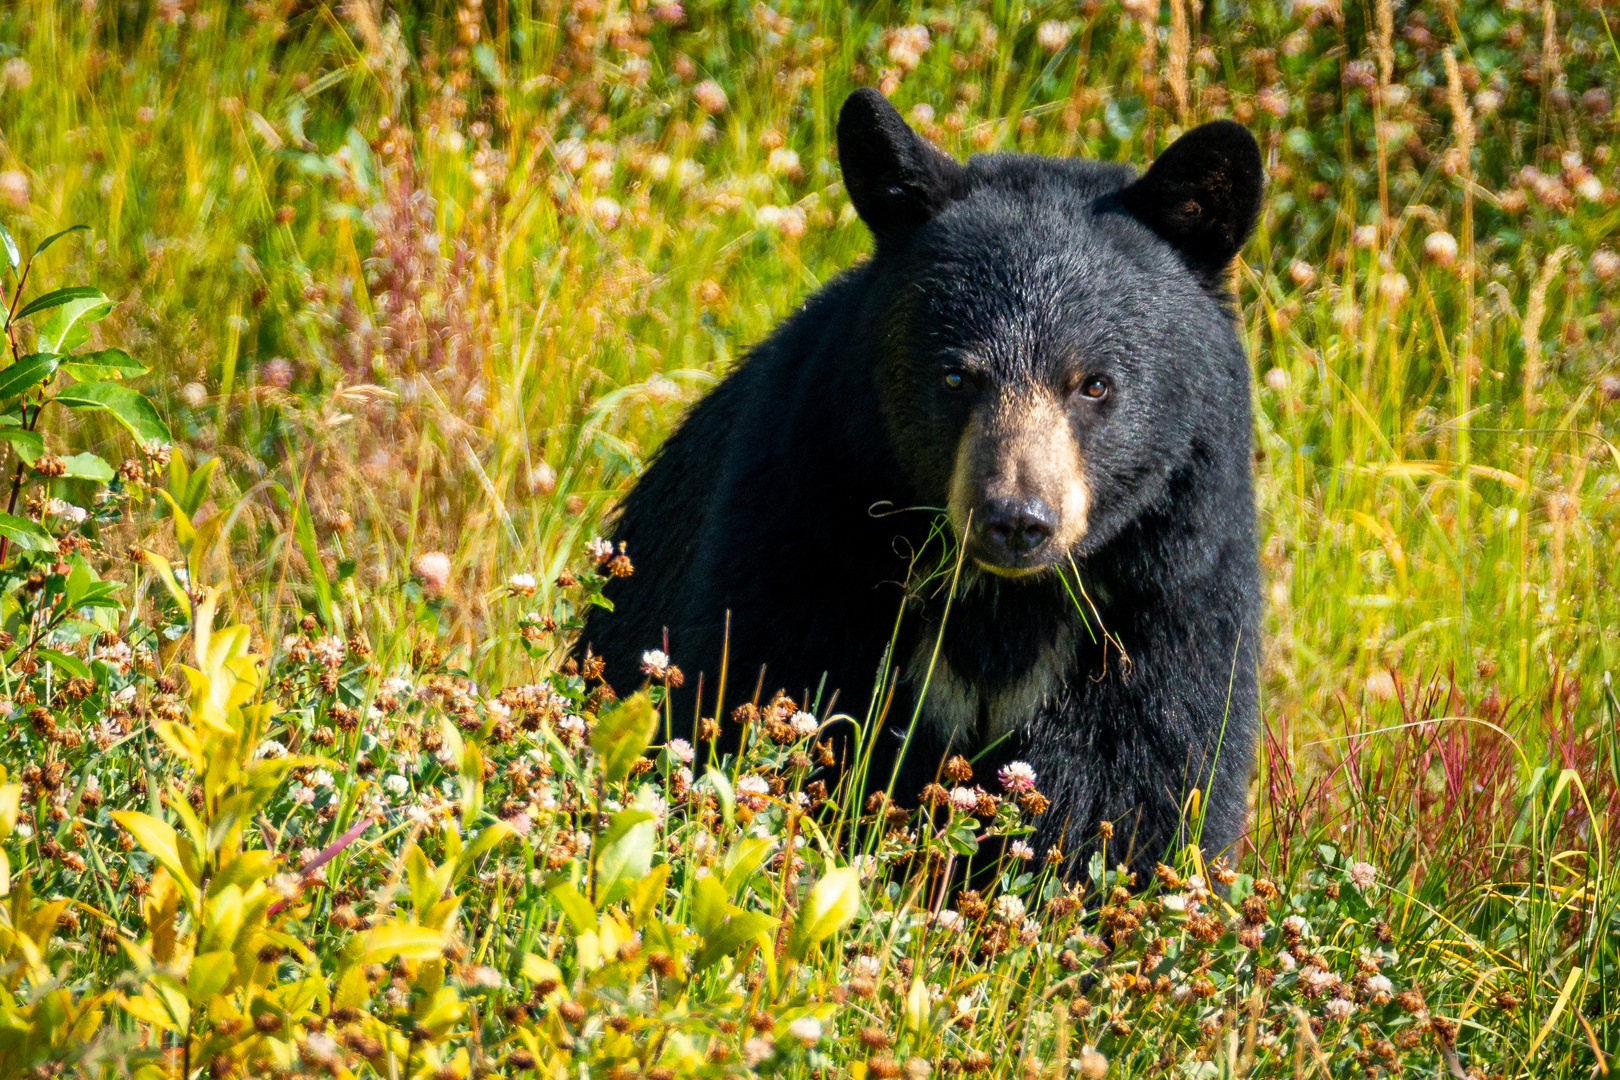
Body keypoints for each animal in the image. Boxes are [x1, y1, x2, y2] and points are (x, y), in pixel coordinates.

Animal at [583, 86, 1263, 880]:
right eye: (955, 376)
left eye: (1094, 383)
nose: (1017, 519)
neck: (1003, 604)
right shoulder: (809, 537)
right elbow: (762, 695)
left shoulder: (1166, 594)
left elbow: (1141, 782)